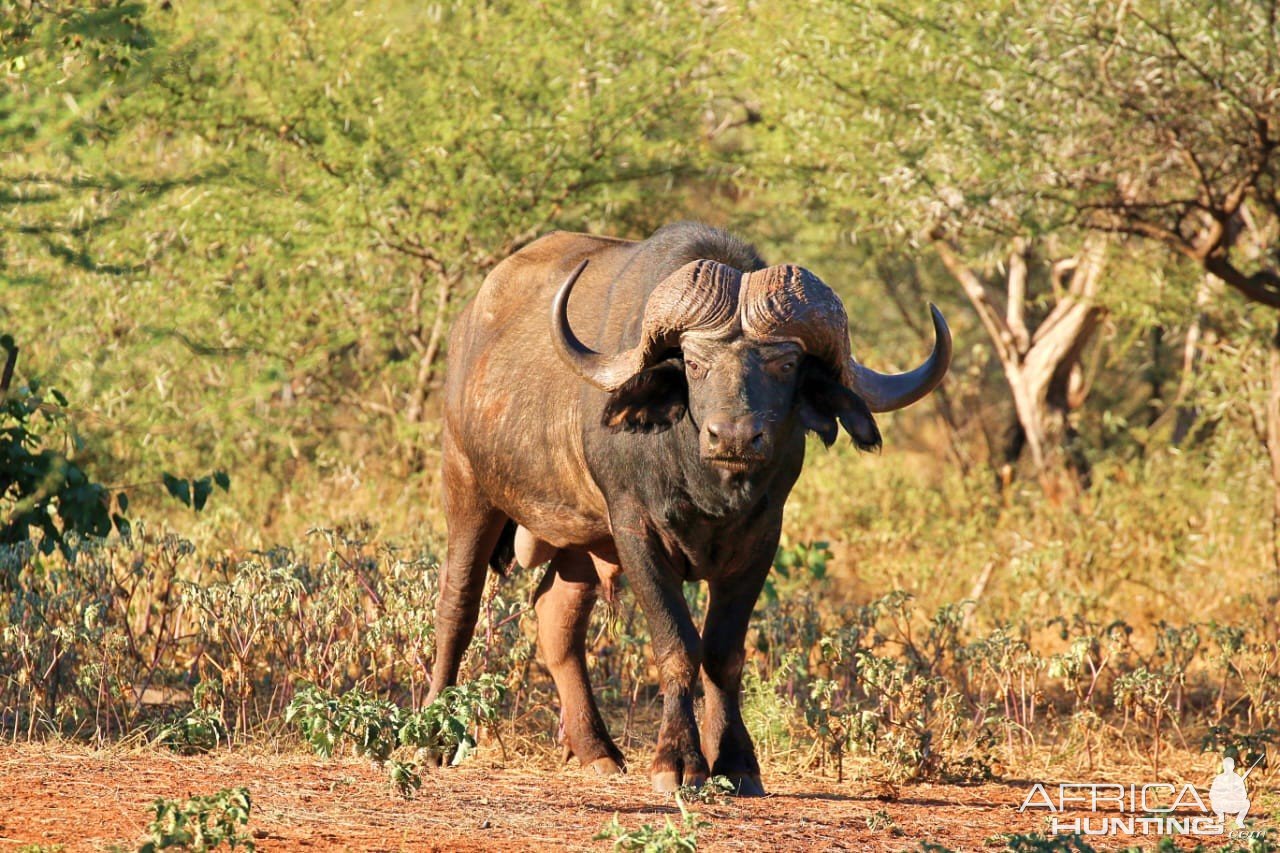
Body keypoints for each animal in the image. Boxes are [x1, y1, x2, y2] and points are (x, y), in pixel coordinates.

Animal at [430, 219, 952, 788]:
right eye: (696, 363)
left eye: (786, 363)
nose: (735, 437)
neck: (707, 487)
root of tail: (466, 331)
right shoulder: (635, 532)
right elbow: (678, 644)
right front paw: (677, 760)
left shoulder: (761, 539)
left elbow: (723, 651)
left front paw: (737, 761)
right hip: (468, 487)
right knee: (457, 605)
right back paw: (434, 737)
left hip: (582, 542)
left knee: (556, 618)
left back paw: (596, 750)